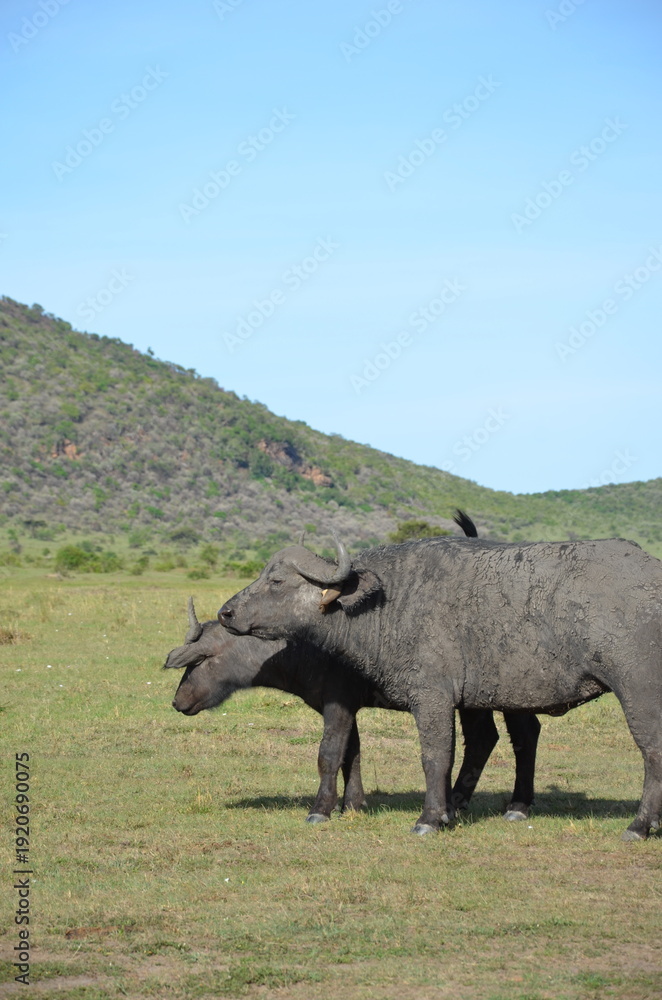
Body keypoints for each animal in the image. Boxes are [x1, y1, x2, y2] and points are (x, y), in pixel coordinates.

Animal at [219, 532, 662, 840]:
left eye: (276, 581)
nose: (226, 612)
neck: (391, 602)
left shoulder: (432, 698)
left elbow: (435, 757)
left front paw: (431, 818)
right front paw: (446, 810)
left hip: (639, 693)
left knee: (652, 752)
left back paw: (639, 825)